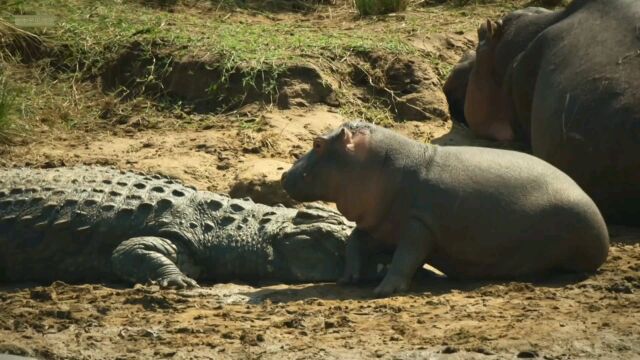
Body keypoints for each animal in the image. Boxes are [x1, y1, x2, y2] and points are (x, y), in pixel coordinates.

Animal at [282, 121, 608, 296]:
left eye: (318, 144)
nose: (284, 174)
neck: (386, 165)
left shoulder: (418, 224)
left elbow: (405, 256)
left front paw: (384, 290)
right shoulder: (383, 224)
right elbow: (355, 240)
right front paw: (347, 278)